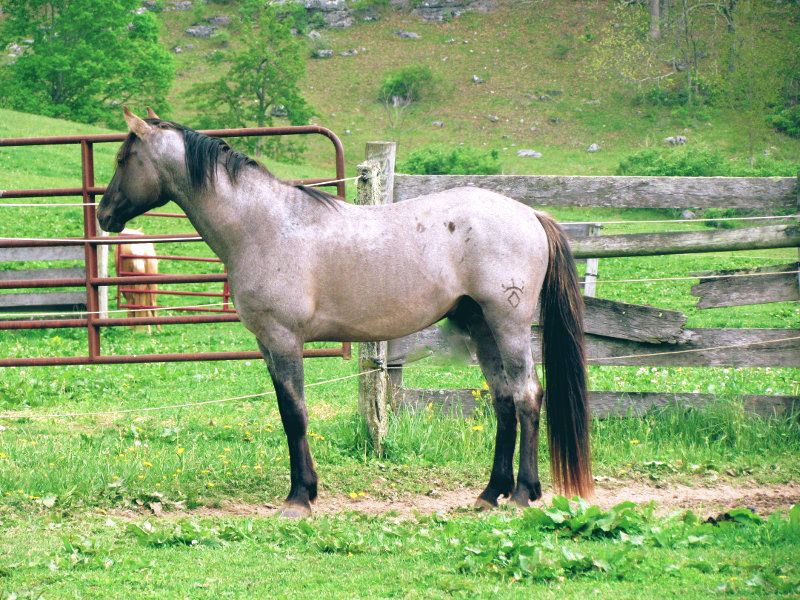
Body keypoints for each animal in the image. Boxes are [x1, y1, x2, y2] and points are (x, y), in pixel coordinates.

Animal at [97, 108, 592, 518]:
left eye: (123, 158)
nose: (103, 214)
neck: (265, 225)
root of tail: (531, 214)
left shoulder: (283, 339)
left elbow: (294, 413)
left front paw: (299, 498)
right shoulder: (267, 344)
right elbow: (288, 412)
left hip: (508, 325)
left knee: (527, 395)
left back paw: (524, 493)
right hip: (481, 326)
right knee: (504, 400)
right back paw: (491, 493)